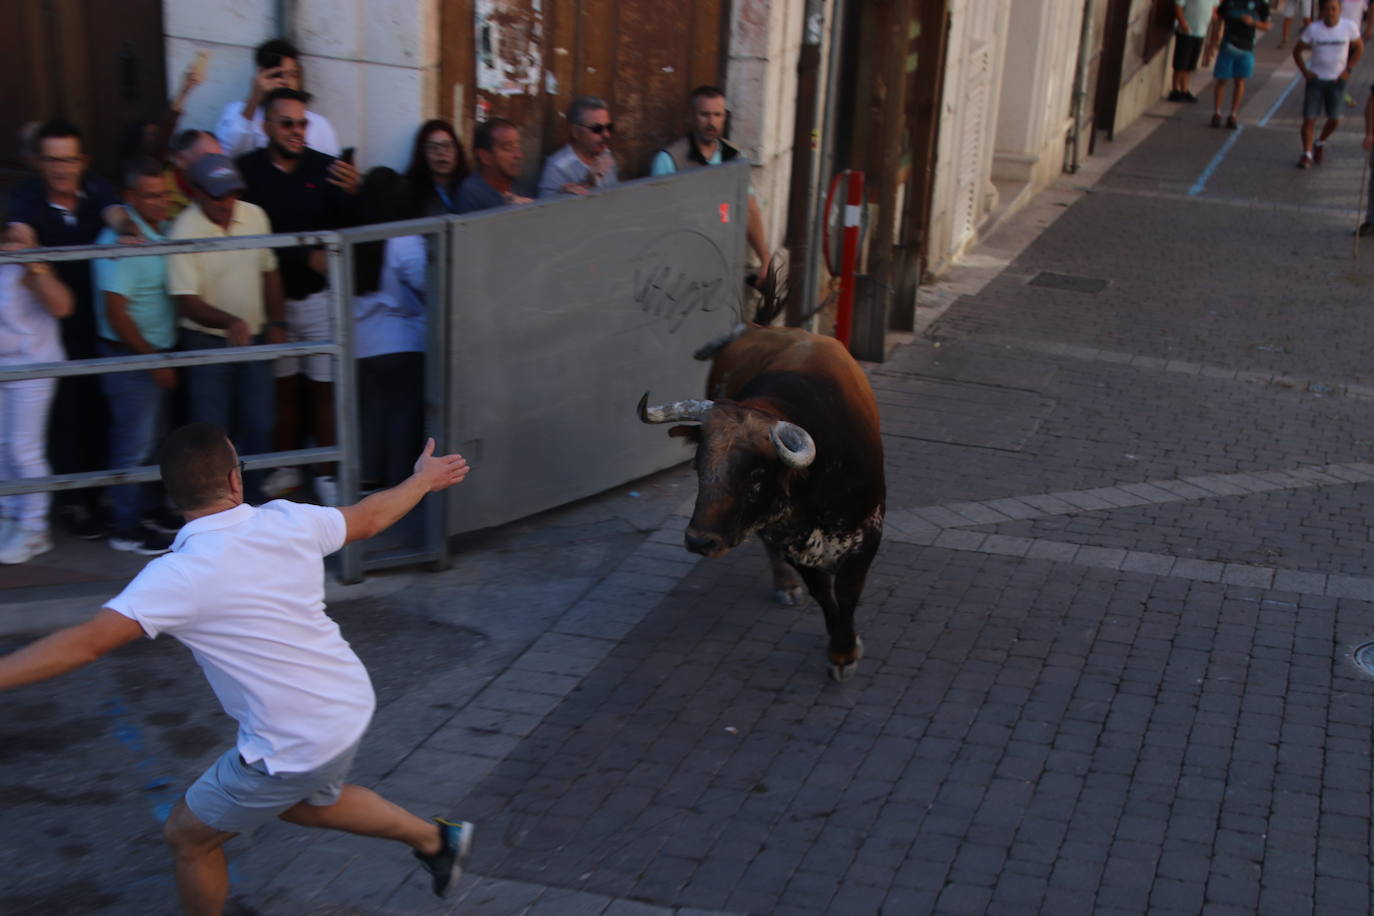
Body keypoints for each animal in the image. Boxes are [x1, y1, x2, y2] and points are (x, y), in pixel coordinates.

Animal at [637, 322, 884, 681]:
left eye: (755, 474)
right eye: (698, 466)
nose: (699, 541)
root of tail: (758, 327)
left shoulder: (867, 537)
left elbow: (847, 594)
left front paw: (844, 653)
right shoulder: (794, 546)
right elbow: (824, 594)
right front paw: (840, 651)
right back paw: (785, 584)